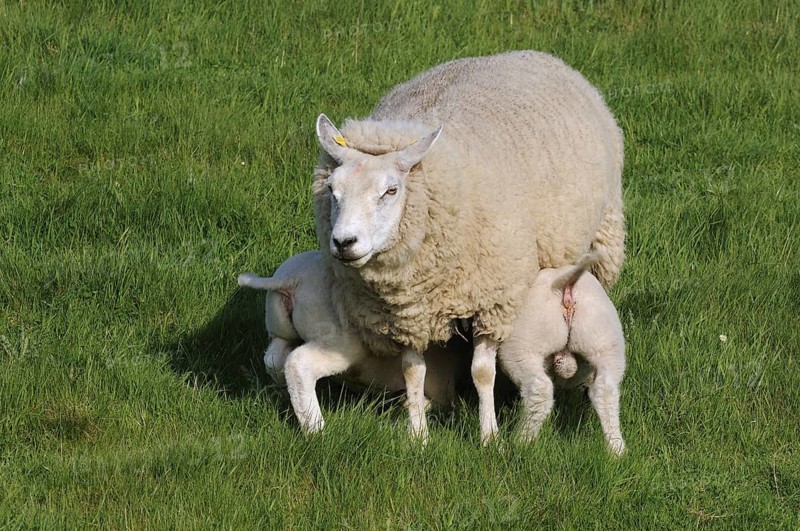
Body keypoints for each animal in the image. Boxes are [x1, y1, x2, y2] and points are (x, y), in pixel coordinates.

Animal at [238, 251, 468, 434]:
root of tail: (292, 279)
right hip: (340, 343)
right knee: (298, 364)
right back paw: (315, 429)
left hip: (278, 324)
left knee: (274, 357)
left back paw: (283, 393)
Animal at [498, 252, 626, 455]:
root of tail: (566, 287)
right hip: (606, 343)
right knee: (606, 390)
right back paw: (616, 448)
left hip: (523, 346)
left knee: (539, 389)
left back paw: (522, 441)